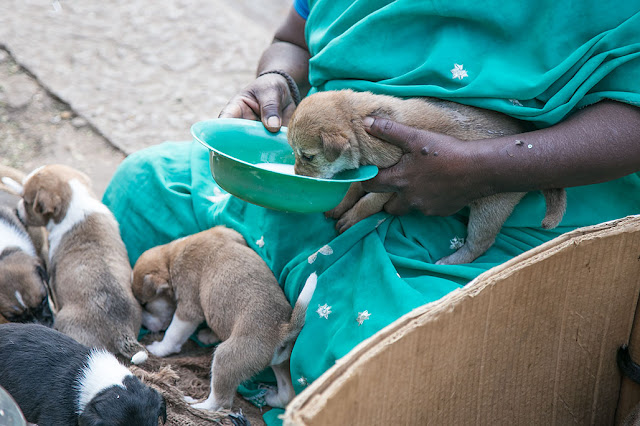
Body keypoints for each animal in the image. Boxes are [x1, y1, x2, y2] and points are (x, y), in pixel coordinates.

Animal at [132, 228, 318, 412]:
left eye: (144, 303)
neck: (171, 256)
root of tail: (283, 328)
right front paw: (208, 335)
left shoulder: (188, 309)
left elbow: (172, 334)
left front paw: (159, 348)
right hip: (280, 364)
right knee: (287, 396)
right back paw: (271, 397)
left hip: (224, 358)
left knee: (219, 403)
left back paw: (193, 404)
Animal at [288, 88, 568, 264]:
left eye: (308, 156)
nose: (296, 174)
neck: (356, 121)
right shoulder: (367, 173)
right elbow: (354, 190)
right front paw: (341, 206)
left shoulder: (391, 182)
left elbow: (368, 202)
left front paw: (351, 218)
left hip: (490, 209)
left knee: (481, 244)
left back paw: (453, 260)